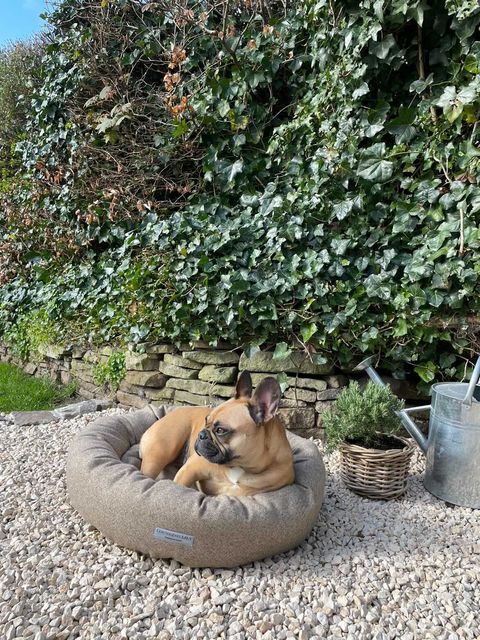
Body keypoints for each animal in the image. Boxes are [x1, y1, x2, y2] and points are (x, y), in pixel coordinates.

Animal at [139, 370, 294, 500]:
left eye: (220, 430)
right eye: (205, 420)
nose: (201, 434)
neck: (240, 465)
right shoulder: (190, 469)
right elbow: (180, 485)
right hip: (160, 453)